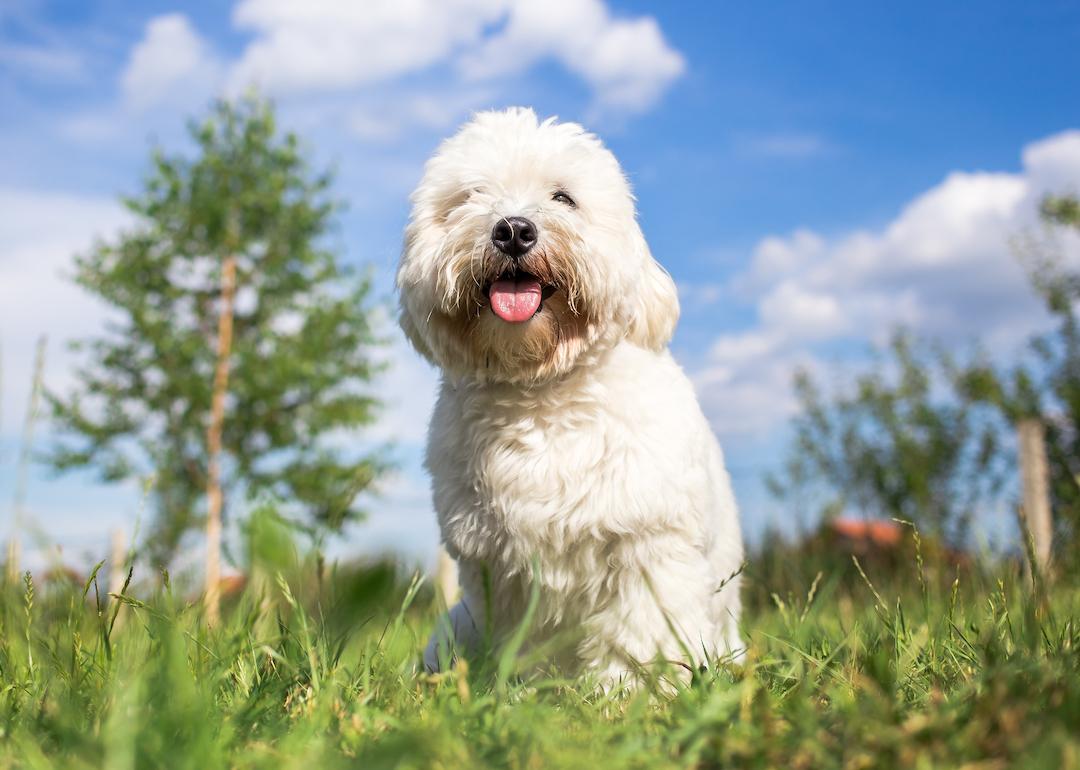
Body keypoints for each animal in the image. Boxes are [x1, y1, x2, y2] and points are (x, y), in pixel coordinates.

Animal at [397, 106, 743, 678]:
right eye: (471, 195)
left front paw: (626, 690)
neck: (540, 394)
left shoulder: (647, 545)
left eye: (564, 197)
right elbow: (523, 644)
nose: (513, 229)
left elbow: (640, 638)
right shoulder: (500, 569)